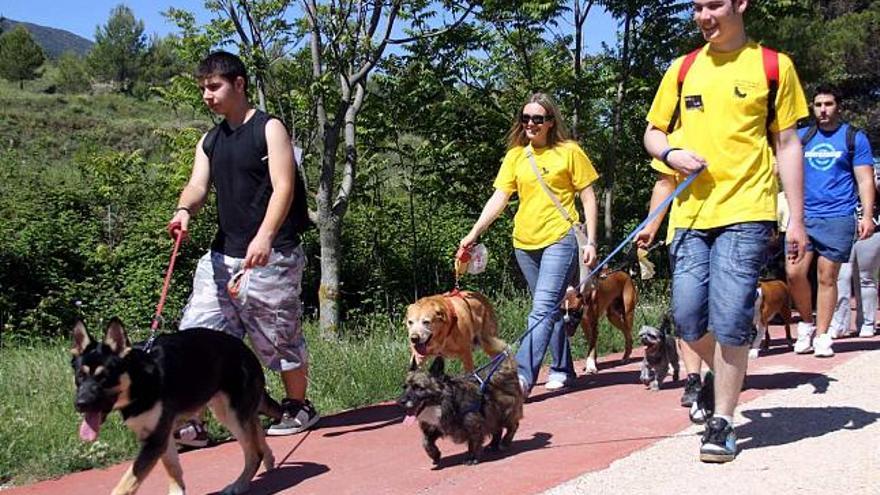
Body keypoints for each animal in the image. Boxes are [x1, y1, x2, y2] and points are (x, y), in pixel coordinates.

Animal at [71, 320, 282, 494]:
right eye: (80, 376)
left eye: (104, 377)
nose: (80, 404)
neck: (140, 378)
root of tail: (245, 348)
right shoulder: (160, 436)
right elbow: (173, 470)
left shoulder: (155, 440)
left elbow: (126, 483)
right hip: (227, 411)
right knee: (257, 434)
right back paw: (268, 460)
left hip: (232, 416)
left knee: (254, 453)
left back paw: (239, 485)